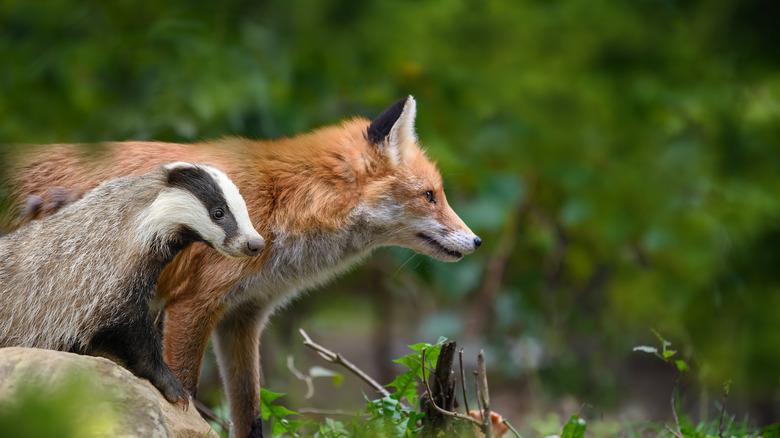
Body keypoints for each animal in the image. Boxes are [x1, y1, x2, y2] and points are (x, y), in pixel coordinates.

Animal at [7, 94, 482, 436]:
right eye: (430, 196)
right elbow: (184, 391)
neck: (281, 203)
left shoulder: (243, 317)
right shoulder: (192, 305)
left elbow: (250, 416)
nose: (477, 241)